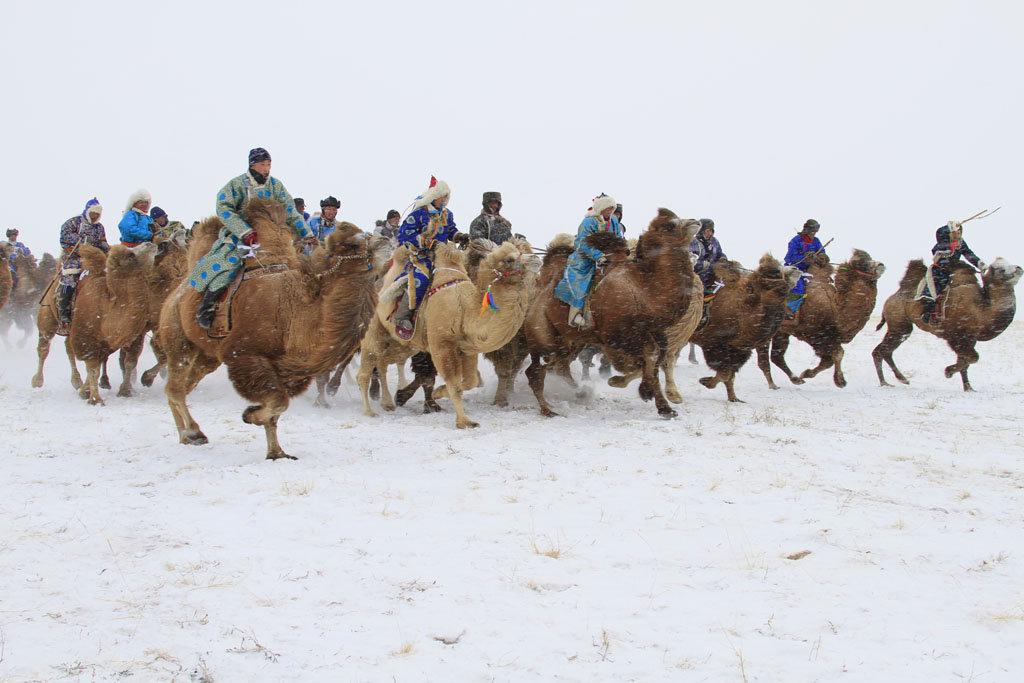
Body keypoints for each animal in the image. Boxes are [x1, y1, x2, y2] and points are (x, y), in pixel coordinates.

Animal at [159, 200, 387, 462]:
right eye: (352, 243)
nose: (385, 241)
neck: (296, 313)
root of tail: (179, 289)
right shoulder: (245, 355)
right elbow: (279, 402)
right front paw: (250, 415)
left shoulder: (287, 371)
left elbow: (278, 409)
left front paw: (276, 452)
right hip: (177, 336)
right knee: (175, 387)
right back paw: (192, 433)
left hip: (208, 355)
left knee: (183, 386)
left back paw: (186, 433)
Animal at [374, 240, 536, 428]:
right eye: (509, 259)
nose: (535, 259)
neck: (465, 311)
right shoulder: (442, 345)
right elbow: (455, 385)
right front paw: (464, 422)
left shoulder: (466, 349)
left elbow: (470, 381)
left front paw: (438, 393)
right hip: (378, 325)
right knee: (377, 360)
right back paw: (386, 402)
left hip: (406, 343)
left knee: (383, 361)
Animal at [528, 205, 704, 419]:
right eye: (670, 225)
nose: (695, 221)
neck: (644, 291)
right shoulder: (616, 336)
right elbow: (649, 356)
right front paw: (644, 391)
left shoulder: (654, 332)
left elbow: (655, 358)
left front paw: (664, 407)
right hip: (543, 336)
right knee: (536, 370)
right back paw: (548, 409)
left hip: (569, 340)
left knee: (559, 365)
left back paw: (580, 392)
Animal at [757, 249, 884, 389]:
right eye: (861, 264)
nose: (881, 265)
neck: (835, 308)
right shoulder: (815, 336)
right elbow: (835, 356)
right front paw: (838, 381)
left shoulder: (830, 337)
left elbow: (833, 357)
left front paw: (808, 374)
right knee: (764, 358)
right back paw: (773, 384)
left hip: (781, 331)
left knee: (777, 356)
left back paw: (796, 379)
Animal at [868, 255, 1019, 389]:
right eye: (1000, 269)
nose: (1019, 268)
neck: (982, 310)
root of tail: (892, 297)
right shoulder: (955, 336)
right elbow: (973, 358)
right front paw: (948, 372)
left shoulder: (971, 338)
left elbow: (966, 362)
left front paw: (968, 388)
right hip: (899, 324)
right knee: (882, 350)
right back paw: (892, 381)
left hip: (900, 327)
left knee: (882, 351)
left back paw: (893, 380)